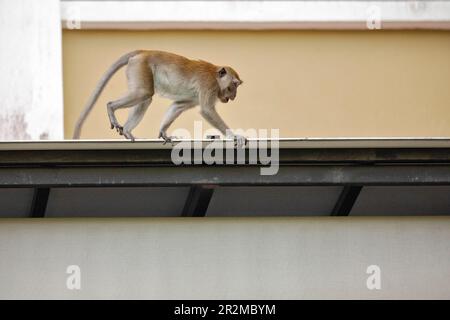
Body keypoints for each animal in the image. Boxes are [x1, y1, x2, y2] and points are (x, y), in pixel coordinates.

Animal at [72, 50, 246, 146]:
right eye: (234, 85)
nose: (234, 96)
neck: (215, 76)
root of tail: (144, 52)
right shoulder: (208, 85)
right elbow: (207, 111)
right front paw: (234, 136)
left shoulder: (196, 95)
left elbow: (178, 105)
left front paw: (163, 132)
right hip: (141, 67)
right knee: (143, 93)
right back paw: (111, 107)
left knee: (145, 98)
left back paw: (127, 131)